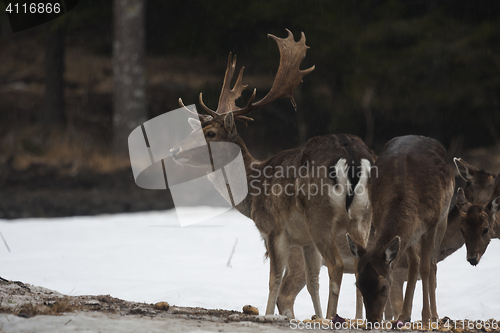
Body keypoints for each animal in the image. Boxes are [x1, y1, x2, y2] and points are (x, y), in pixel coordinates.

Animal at [169, 29, 376, 318]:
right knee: (359, 264)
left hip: (320, 215)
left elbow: (273, 280)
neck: (254, 188)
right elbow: (312, 283)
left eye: (210, 133)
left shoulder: (274, 228)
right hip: (361, 218)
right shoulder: (304, 240)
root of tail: (353, 156)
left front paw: (267, 314)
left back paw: (332, 318)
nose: (174, 150)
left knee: (335, 264)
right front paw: (314, 315)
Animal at [346, 135, 456, 322]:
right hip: (412, 235)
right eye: (358, 284)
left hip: (443, 218)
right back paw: (404, 315)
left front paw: (426, 317)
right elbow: (414, 265)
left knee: (432, 264)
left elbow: (426, 268)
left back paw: (434, 315)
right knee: (414, 263)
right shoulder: (381, 221)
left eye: (384, 287)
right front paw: (402, 315)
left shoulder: (431, 223)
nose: (372, 320)